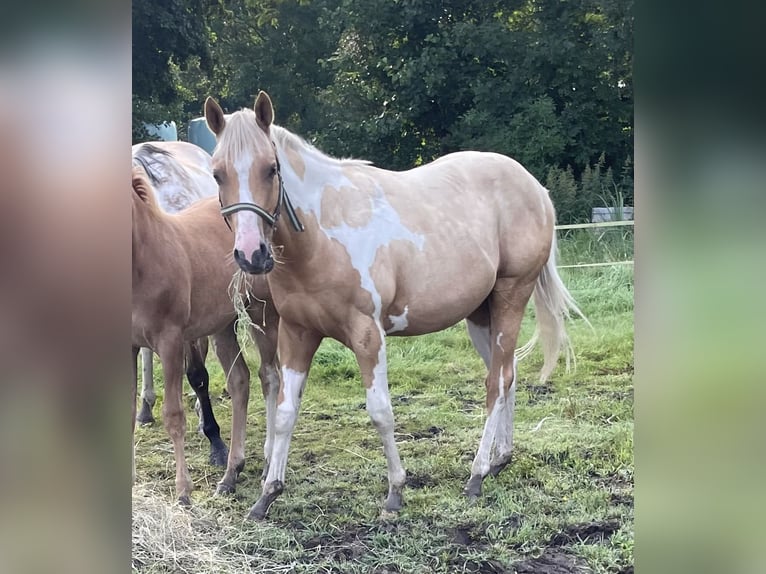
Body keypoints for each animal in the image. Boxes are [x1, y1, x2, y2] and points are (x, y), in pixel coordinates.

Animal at [131, 164, 281, 504]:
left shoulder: (171, 340)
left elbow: (174, 415)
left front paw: (183, 491)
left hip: (262, 314)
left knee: (270, 377)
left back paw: (267, 464)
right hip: (222, 325)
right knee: (239, 380)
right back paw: (231, 472)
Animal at [204, 91, 587, 520]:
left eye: (271, 169)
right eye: (217, 174)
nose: (251, 254)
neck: (323, 235)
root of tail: (536, 189)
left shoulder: (367, 335)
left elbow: (380, 412)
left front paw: (395, 492)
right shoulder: (296, 334)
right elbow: (286, 412)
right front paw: (267, 495)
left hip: (511, 297)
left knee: (497, 382)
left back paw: (476, 474)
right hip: (480, 314)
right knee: (508, 373)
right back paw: (499, 459)